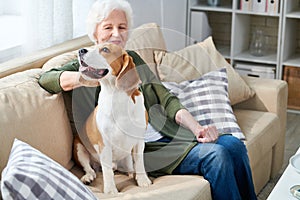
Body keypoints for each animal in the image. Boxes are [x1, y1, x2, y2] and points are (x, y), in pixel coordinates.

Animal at [73, 42, 152, 194]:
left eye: (105, 49)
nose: (80, 51)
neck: (116, 97)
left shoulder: (139, 141)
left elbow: (139, 162)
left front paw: (143, 180)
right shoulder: (105, 145)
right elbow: (107, 171)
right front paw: (110, 190)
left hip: (126, 158)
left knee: (128, 167)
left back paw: (131, 173)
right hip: (79, 148)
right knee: (89, 168)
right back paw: (88, 176)